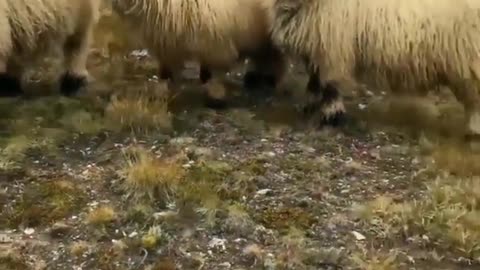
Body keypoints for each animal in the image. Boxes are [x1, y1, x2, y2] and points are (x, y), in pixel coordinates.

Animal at [110, 0, 286, 105]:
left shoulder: (217, 43)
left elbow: (214, 72)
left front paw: (216, 95)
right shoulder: (166, 44)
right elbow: (166, 73)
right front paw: (163, 94)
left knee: (274, 58)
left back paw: (269, 80)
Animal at [270, 0, 480, 136]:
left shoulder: (332, 48)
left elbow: (330, 85)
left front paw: (330, 116)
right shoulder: (314, 48)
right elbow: (314, 80)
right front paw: (311, 105)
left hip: (469, 60)